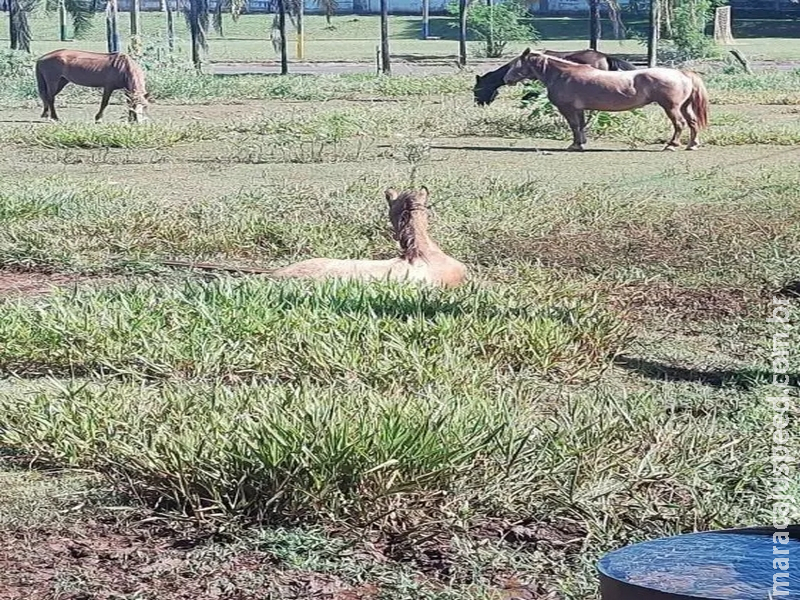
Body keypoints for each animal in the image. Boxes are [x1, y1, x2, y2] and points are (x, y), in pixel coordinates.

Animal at [504, 49, 708, 152]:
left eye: (516, 64)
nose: (506, 79)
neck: (564, 74)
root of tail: (682, 73)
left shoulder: (568, 109)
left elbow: (574, 126)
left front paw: (574, 145)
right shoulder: (579, 109)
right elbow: (581, 126)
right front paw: (581, 143)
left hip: (671, 107)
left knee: (680, 124)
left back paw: (671, 145)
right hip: (684, 107)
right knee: (692, 122)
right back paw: (692, 145)